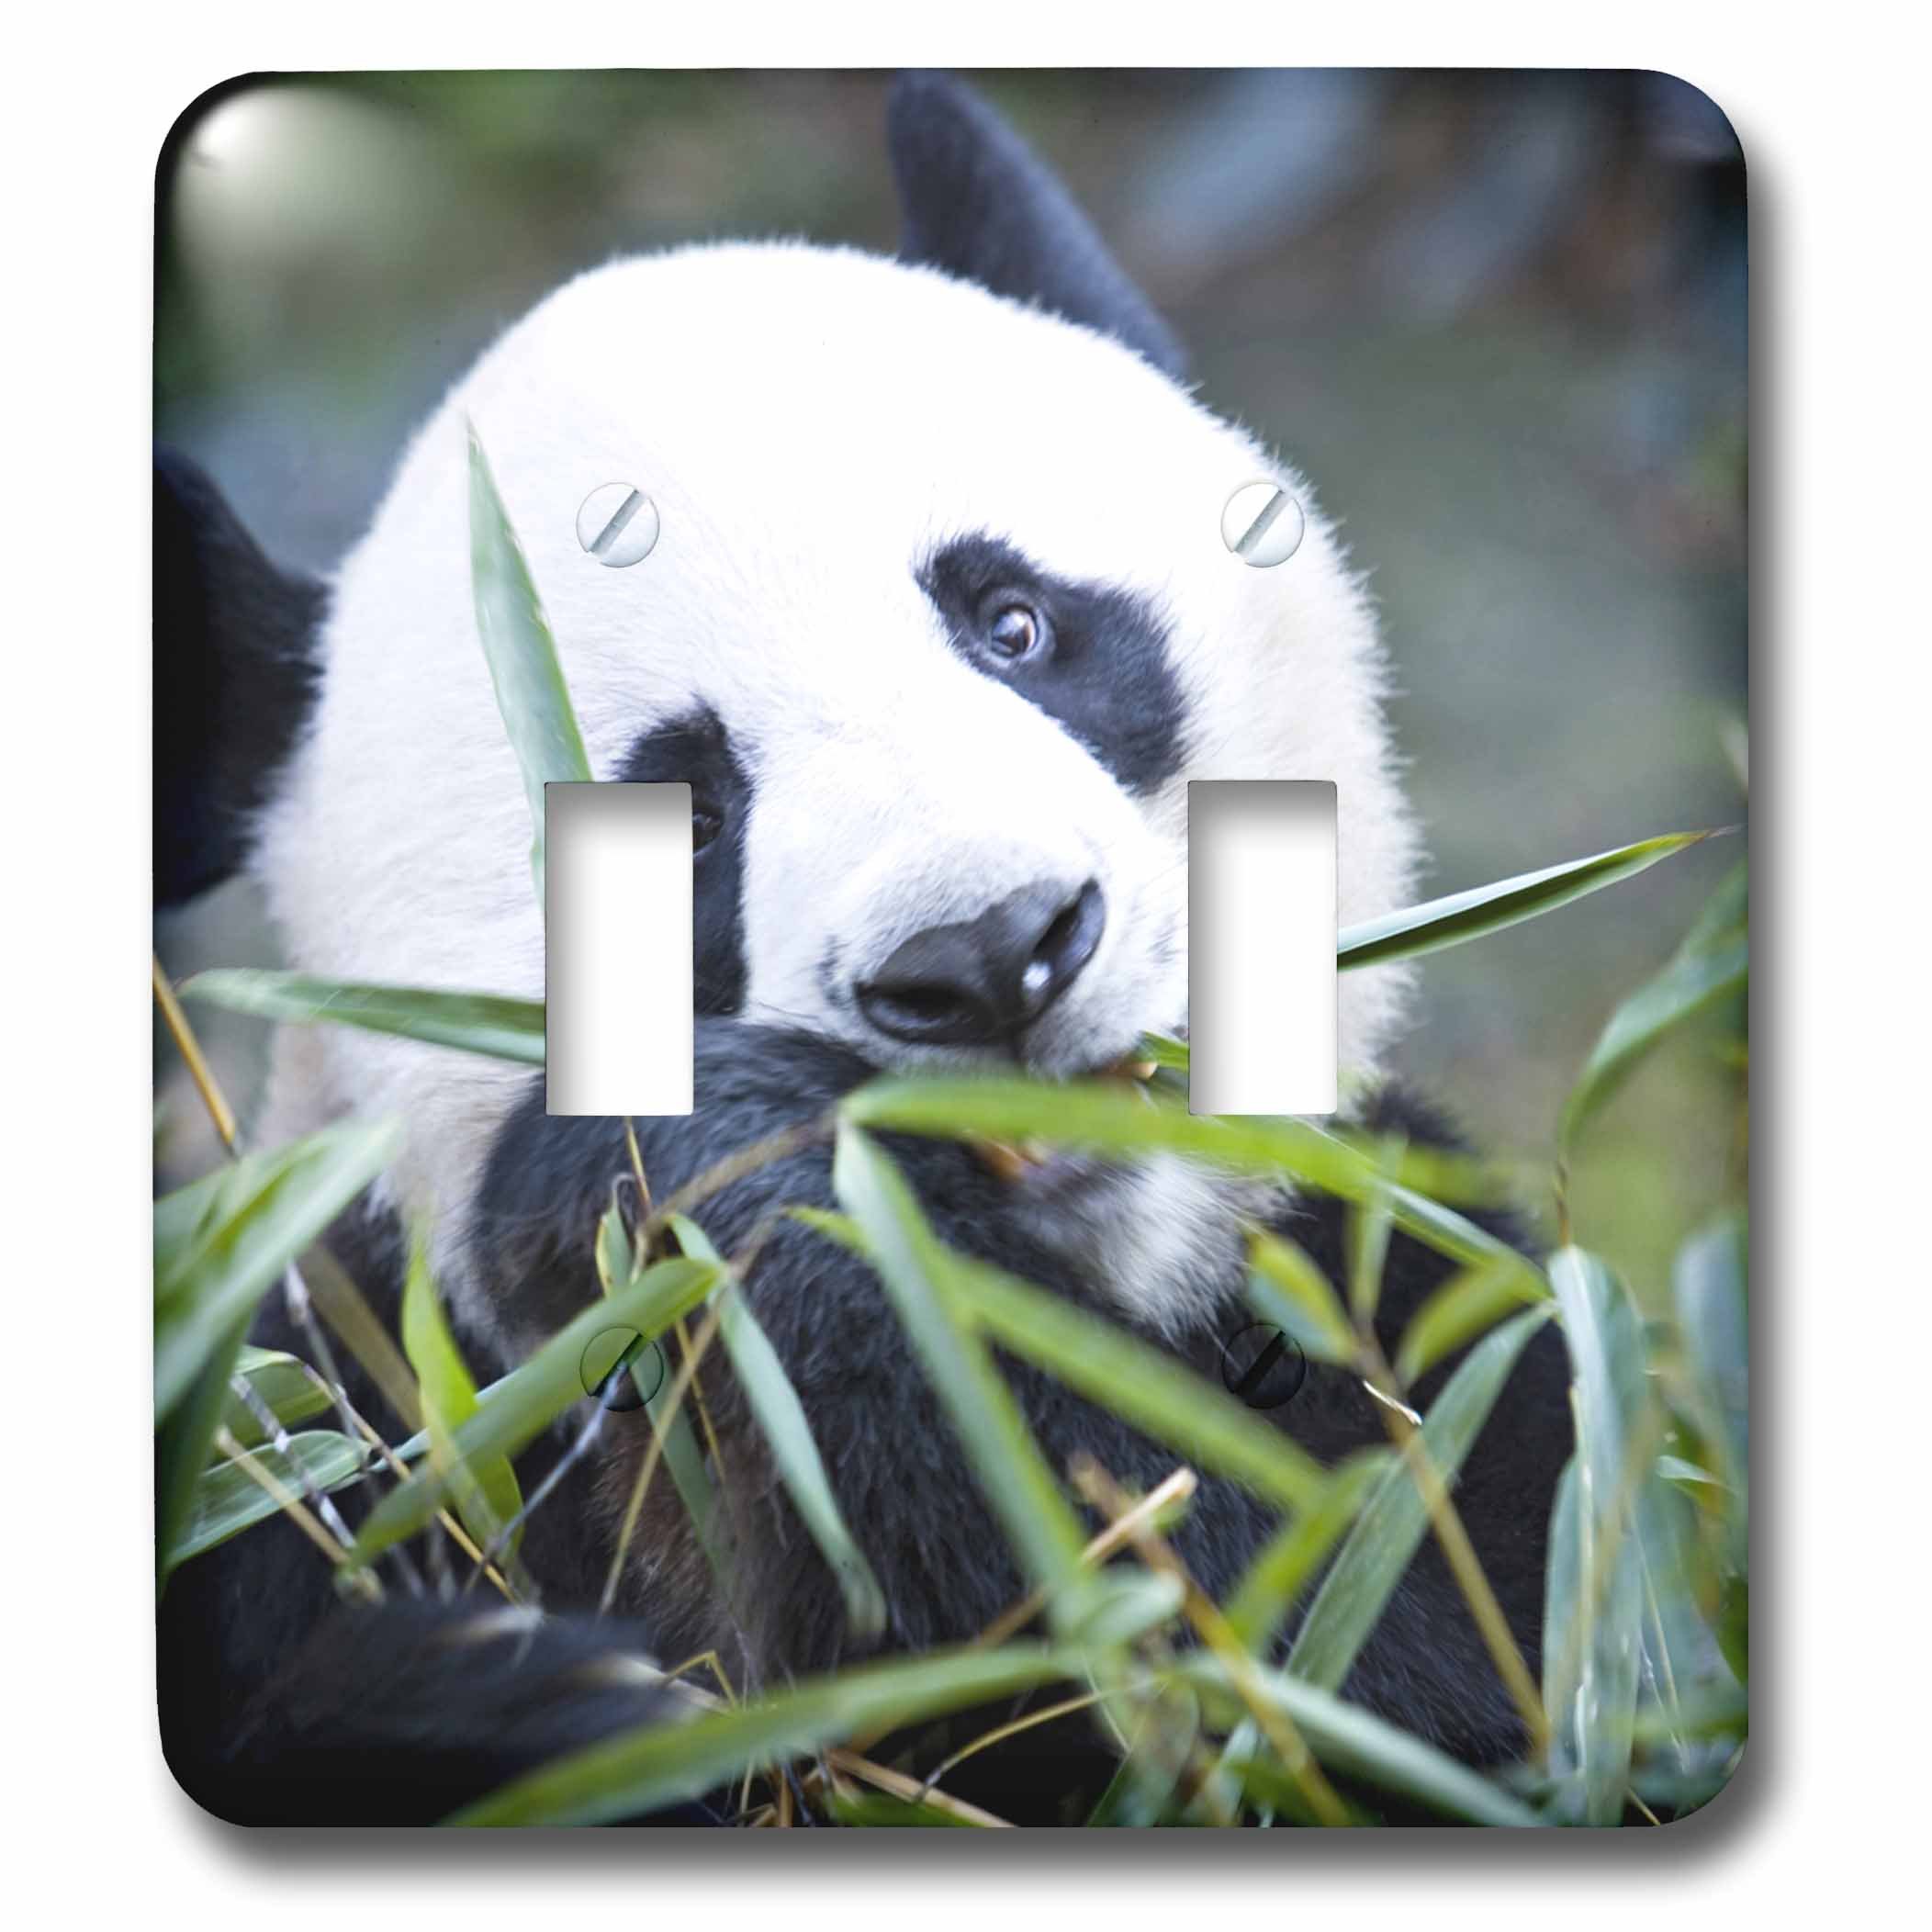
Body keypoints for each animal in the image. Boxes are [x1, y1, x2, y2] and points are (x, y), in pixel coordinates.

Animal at [156, 73, 1572, 1825]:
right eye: (684, 818)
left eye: (1014, 624)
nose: (991, 948)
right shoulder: (316, 1401)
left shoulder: (1431, 1318)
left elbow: (1386, 1671)